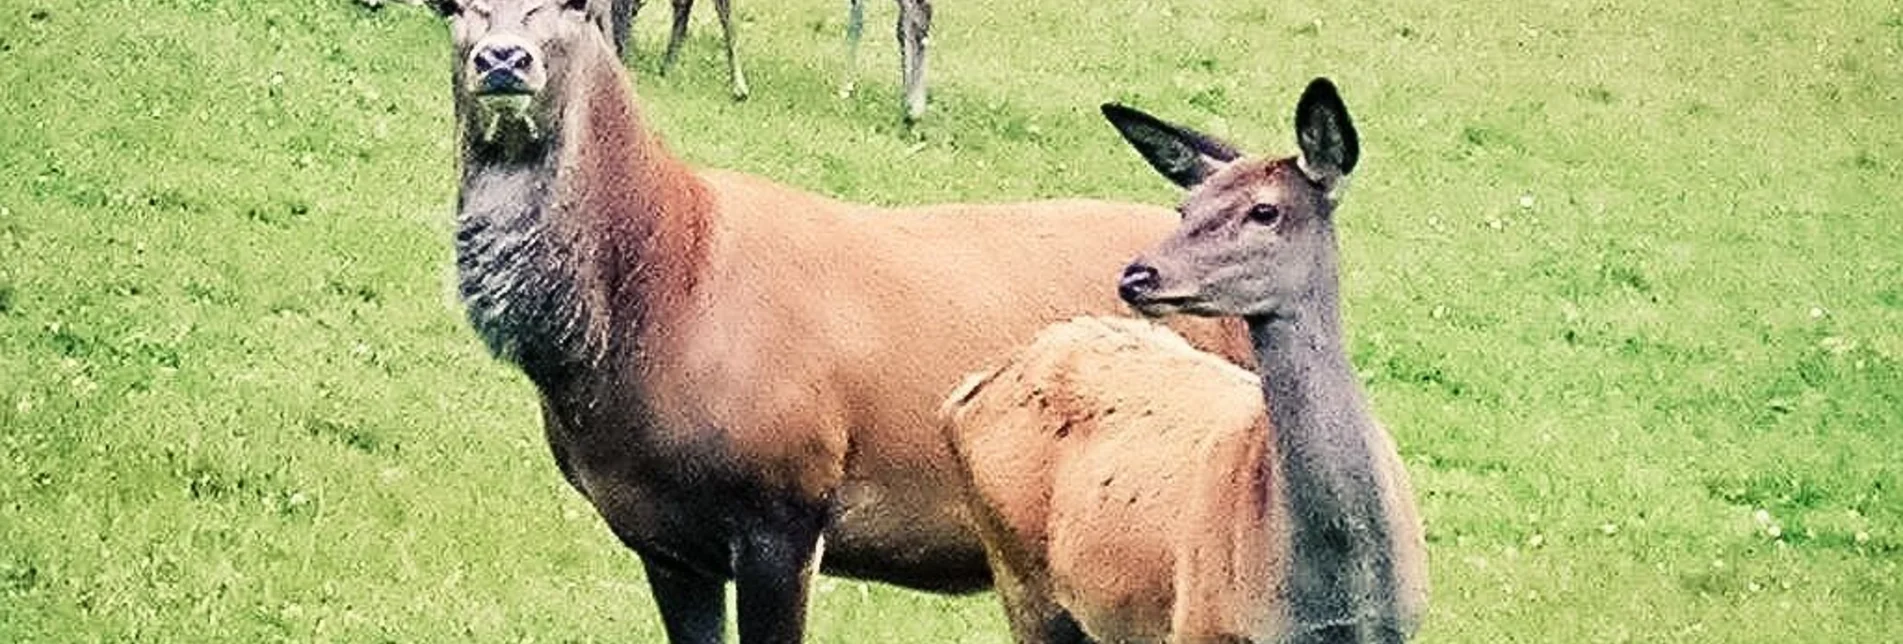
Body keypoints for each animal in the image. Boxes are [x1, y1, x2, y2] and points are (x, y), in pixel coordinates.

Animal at [582, 0, 932, 121]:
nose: (624, 49)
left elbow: (719, 10)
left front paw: (739, 86)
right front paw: (669, 62)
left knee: (915, 14)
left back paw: (910, 105)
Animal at [947, 80, 1431, 644]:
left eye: (1265, 211)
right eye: (1185, 207)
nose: (1137, 276)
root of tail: (967, 392)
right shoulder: (1198, 623)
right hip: (1022, 581)